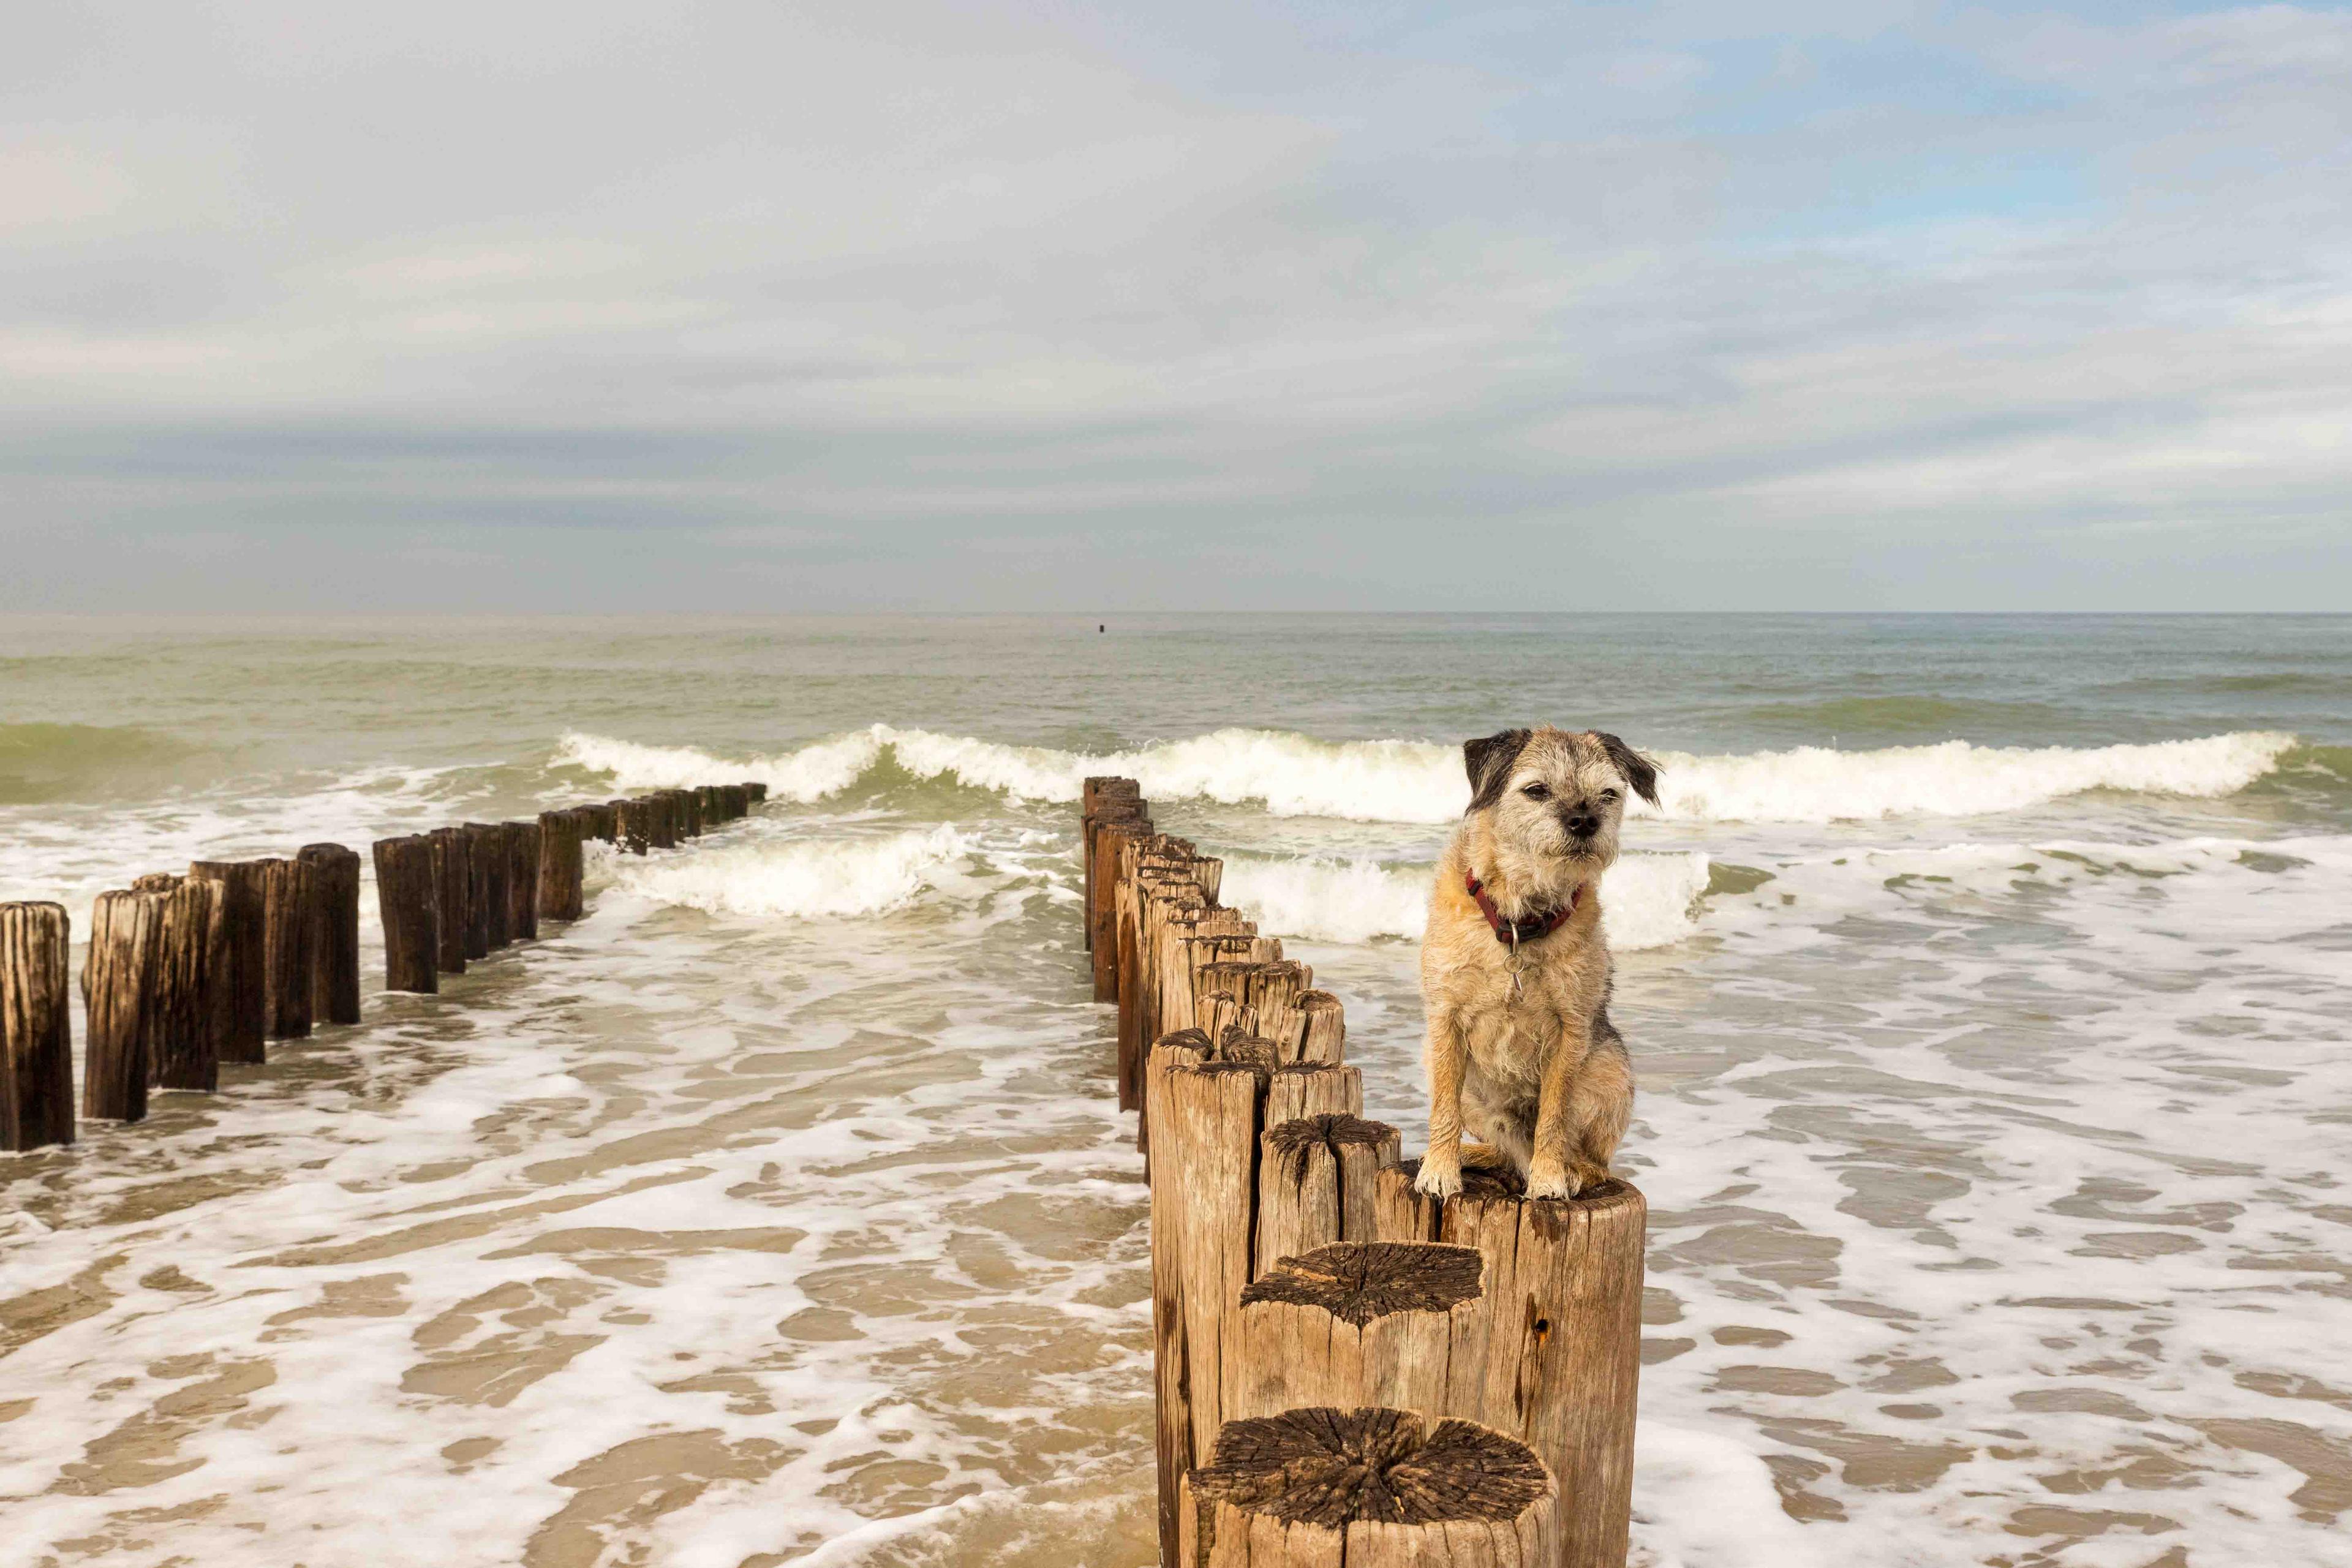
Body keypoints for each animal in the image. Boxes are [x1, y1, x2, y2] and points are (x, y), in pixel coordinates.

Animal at [1411, 728, 1656, 1204]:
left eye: (1608, 794)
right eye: (1536, 790)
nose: (1584, 821)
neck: (1520, 917)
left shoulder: (1570, 1030)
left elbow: (1554, 1115)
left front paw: (1549, 1179)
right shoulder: (1445, 1020)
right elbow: (1443, 1107)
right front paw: (1439, 1170)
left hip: (1610, 1070)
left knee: (1596, 1163)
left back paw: (1572, 1171)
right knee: (1502, 1146)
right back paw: (1472, 1154)